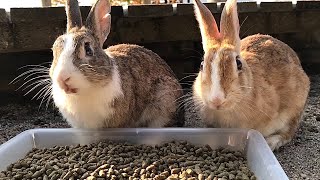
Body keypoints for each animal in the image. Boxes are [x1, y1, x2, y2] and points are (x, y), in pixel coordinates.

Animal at [192, 0, 310, 150]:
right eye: (202, 65)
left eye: (238, 63)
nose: (216, 100)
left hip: (294, 112)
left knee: (289, 133)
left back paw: (271, 142)